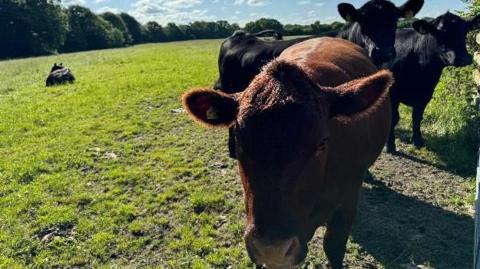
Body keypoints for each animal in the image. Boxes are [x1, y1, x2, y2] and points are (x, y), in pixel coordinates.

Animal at [386, 11, 480, 153]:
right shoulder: (392, 93)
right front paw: (390, 145)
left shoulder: (426, 93)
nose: (464, 58)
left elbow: (417, 117)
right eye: (440, 32)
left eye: (465, 31)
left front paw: (418, 140)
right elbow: (393, 118)